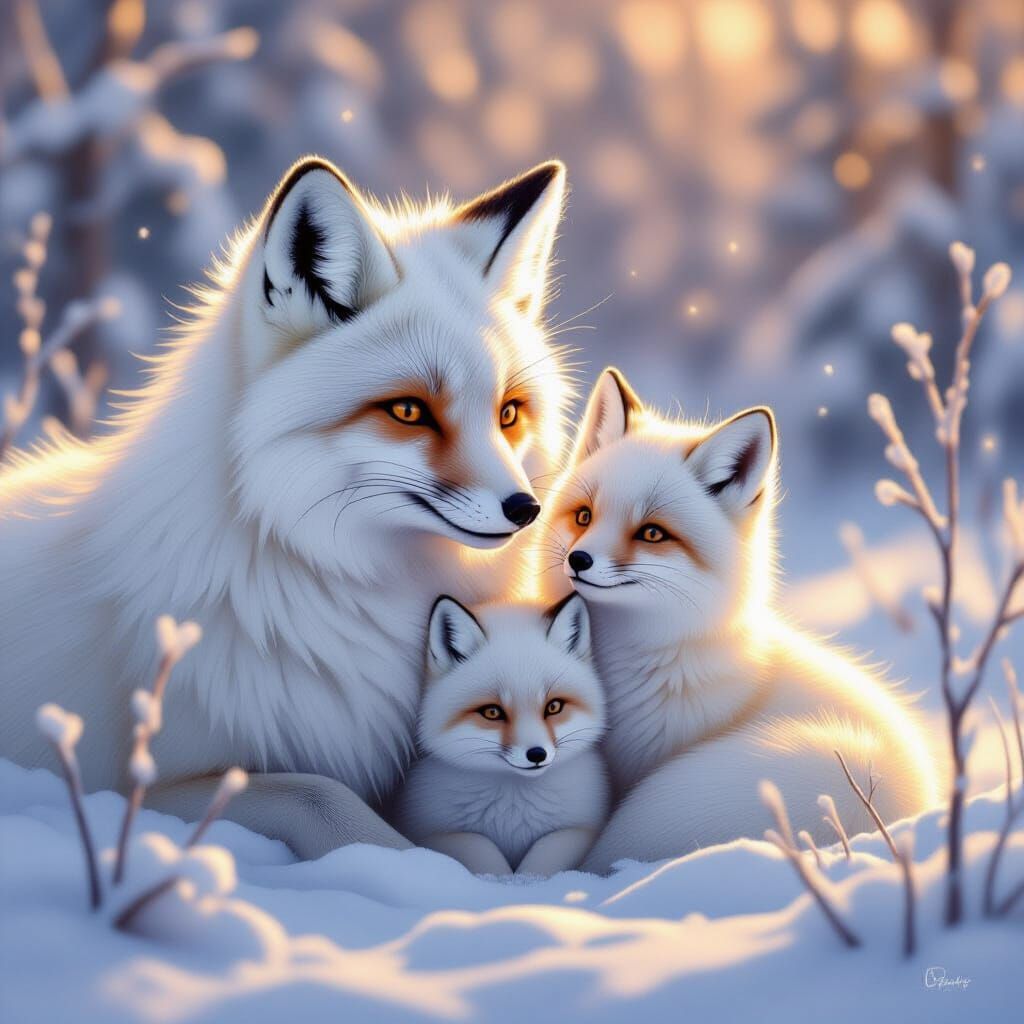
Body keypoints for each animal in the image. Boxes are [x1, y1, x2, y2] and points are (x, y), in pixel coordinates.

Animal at [395, 594, 609, 876]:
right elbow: (481, 847)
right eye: (492, 712)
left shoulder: (582, 830)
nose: (537, 754)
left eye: (553, 707)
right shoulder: (431, 833)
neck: (515, 808)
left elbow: (545, 855)